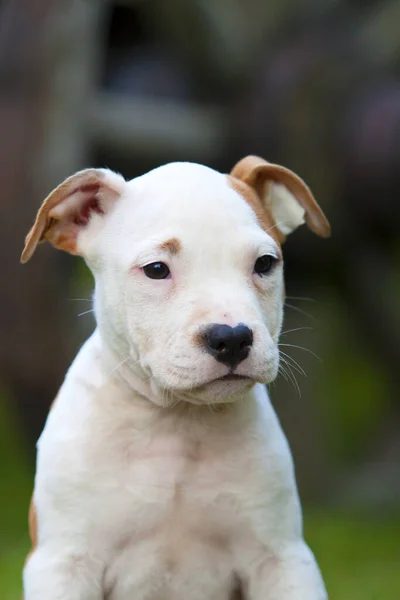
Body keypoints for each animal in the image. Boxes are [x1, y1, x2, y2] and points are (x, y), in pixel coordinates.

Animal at [20, 156, 330, 600]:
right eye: (156, 269)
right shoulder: (63, 562)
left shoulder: (282, 559)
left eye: (265, 264)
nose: (231, 338)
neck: (177, 421)